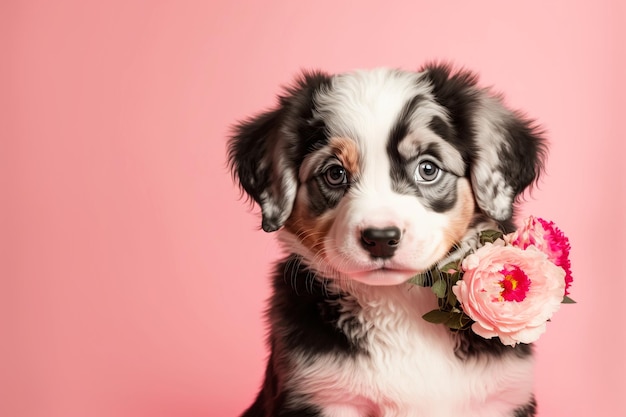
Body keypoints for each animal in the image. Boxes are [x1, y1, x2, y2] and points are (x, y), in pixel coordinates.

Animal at [227, 62, 544, 416]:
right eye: (335, 173)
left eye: (428, 169)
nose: (380, 238)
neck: (398, 305)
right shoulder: (319, 393)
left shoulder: (502, 397)